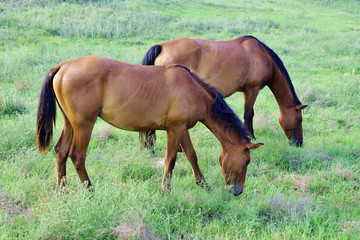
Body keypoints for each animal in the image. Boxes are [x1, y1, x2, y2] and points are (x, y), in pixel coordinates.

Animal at [35, 55, 262, 195]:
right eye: (246, 162)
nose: (237, 191)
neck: (194, 90)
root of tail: (63, 66)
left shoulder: (182, 129)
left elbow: (191, 155)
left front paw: (203, 184)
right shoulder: (174, 129)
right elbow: (171, 159)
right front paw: (166, 190)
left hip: (70, 124)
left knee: (61, 151)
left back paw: (63, 190)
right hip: (84, 125)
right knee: (77, 156)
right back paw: (91, 191)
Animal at [140, 35, 306, 150]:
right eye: (299, 120)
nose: (298, 143)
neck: (262, 56)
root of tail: (161, 47)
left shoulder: (245, 91)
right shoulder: (253, 89)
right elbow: (249, 114)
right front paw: (251, 136)